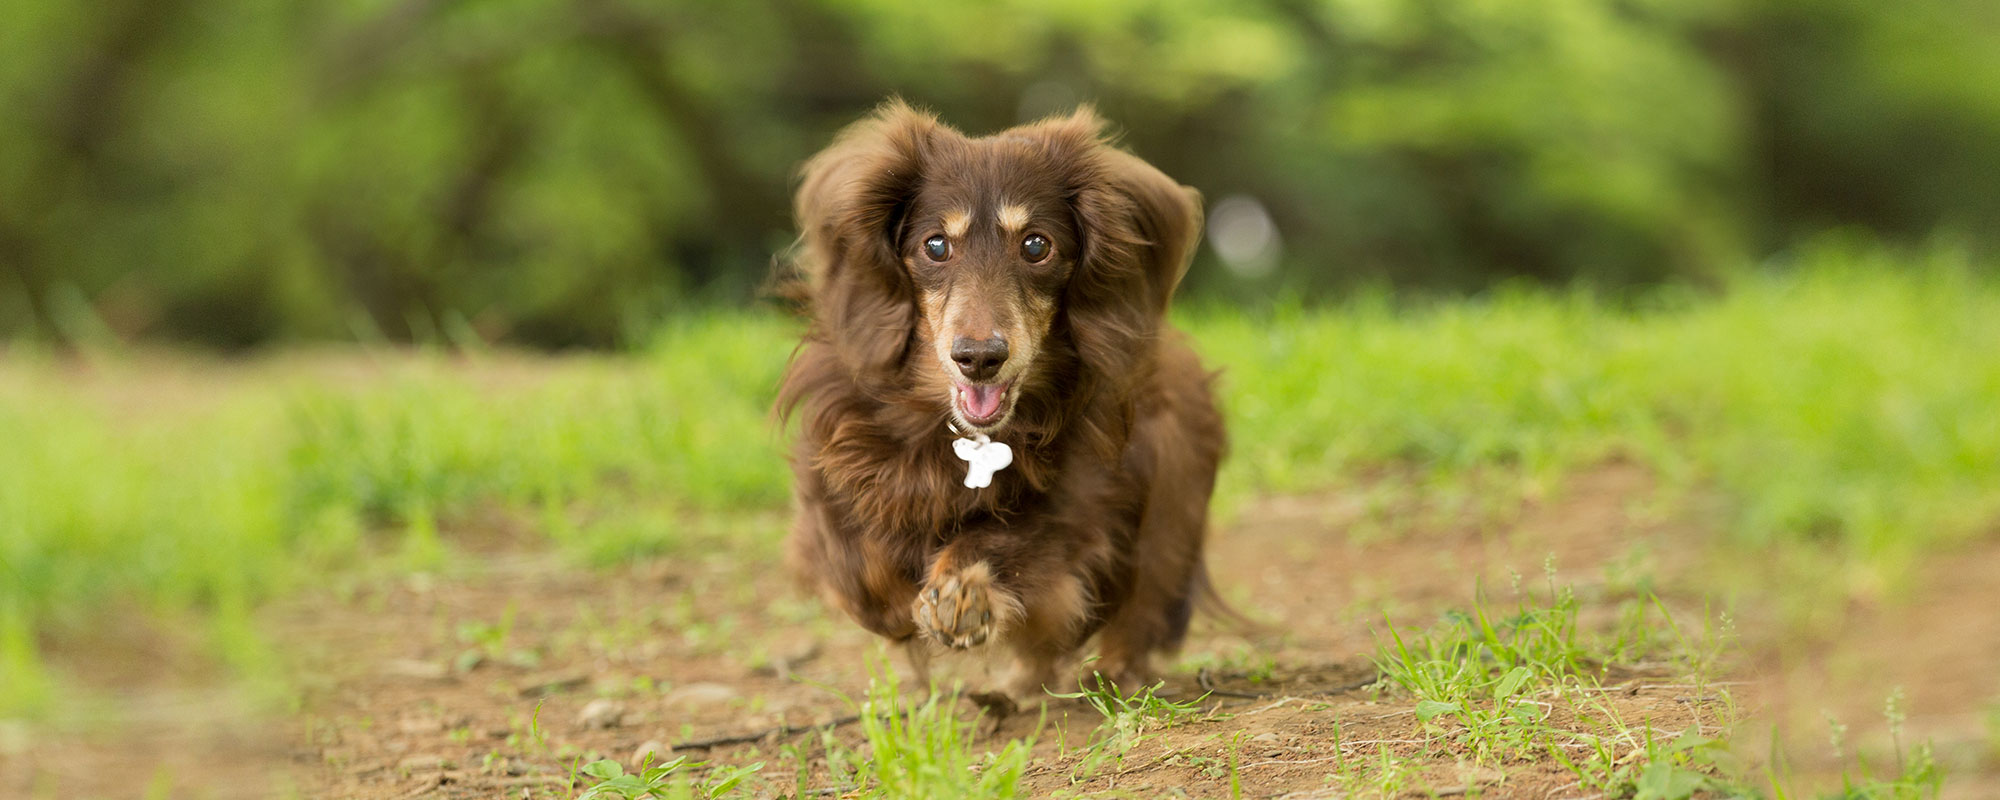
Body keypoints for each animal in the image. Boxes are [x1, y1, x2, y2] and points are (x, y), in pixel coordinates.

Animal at [776, 101, 1216, 708]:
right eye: (936, 245)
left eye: (1036, 245)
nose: (978, 358)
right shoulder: (835, 471)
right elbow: (857, 568)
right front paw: (896, 606)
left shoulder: (1078, 507)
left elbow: (1008, 542)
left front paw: (962, 595)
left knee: (1136, 609)